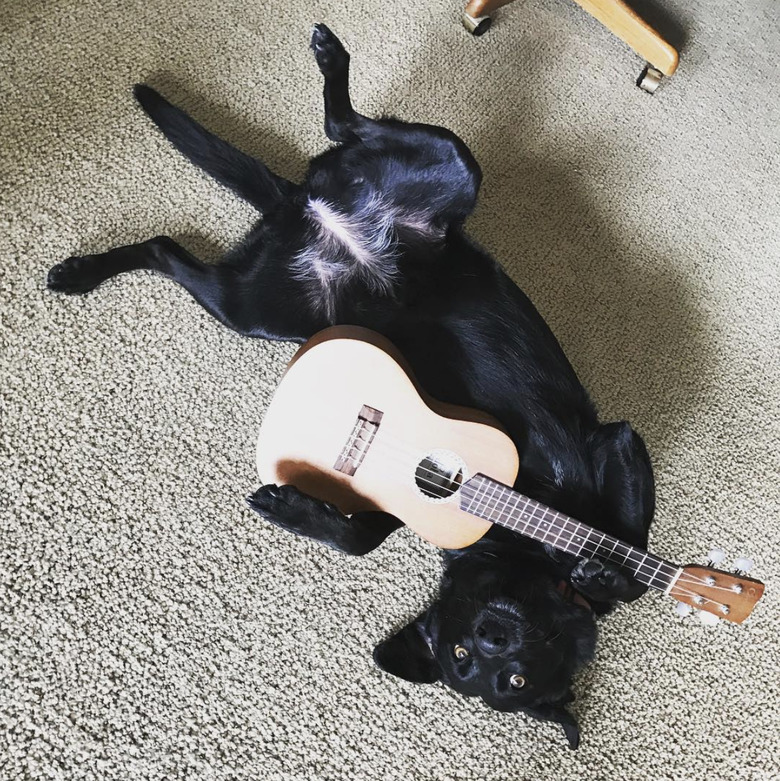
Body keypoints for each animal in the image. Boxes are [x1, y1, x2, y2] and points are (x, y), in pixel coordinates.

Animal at [48, 24, 656, 748]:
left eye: (508, 678)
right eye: (465, 655)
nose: (489, 634)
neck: (526, 549)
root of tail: (312, 211)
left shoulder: (406, 498)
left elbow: (364, 535)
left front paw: (294, 508)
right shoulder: (617, 440)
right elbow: (636, 562)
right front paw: (608, 571)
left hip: (254, 306)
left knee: (167, 246)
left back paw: (82, 271)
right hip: (452, 167)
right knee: (347, 128)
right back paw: (330, 60)